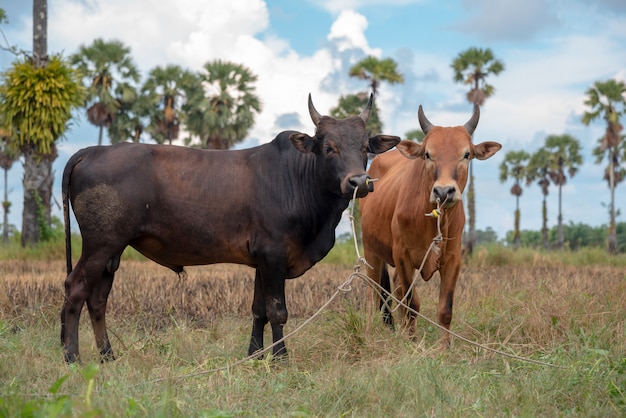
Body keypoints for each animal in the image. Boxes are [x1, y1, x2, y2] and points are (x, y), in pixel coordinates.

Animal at [59, 93, 400, 360]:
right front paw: (280, 358)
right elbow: (277, 310)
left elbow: (259, 310)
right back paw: (73, 357)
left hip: (112, 252)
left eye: (365, 148)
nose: (359, 182)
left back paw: (108, 356)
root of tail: (92, 150)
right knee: (75, 289)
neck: (298, 179)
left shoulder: (262, 261)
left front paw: (255, 355)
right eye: (329, 148)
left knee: (97, 300)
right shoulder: (274, 256)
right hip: (100, 245)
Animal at [358, 104, 500, 346]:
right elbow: (411, 304)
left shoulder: (453, 259)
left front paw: (444, 347)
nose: (444, 191)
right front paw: (412, 343)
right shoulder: (402, 255)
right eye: (427, 154)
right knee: (373, 294)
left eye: (466, 154)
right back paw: (369, 332)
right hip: (371, 252)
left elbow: (445, 309)